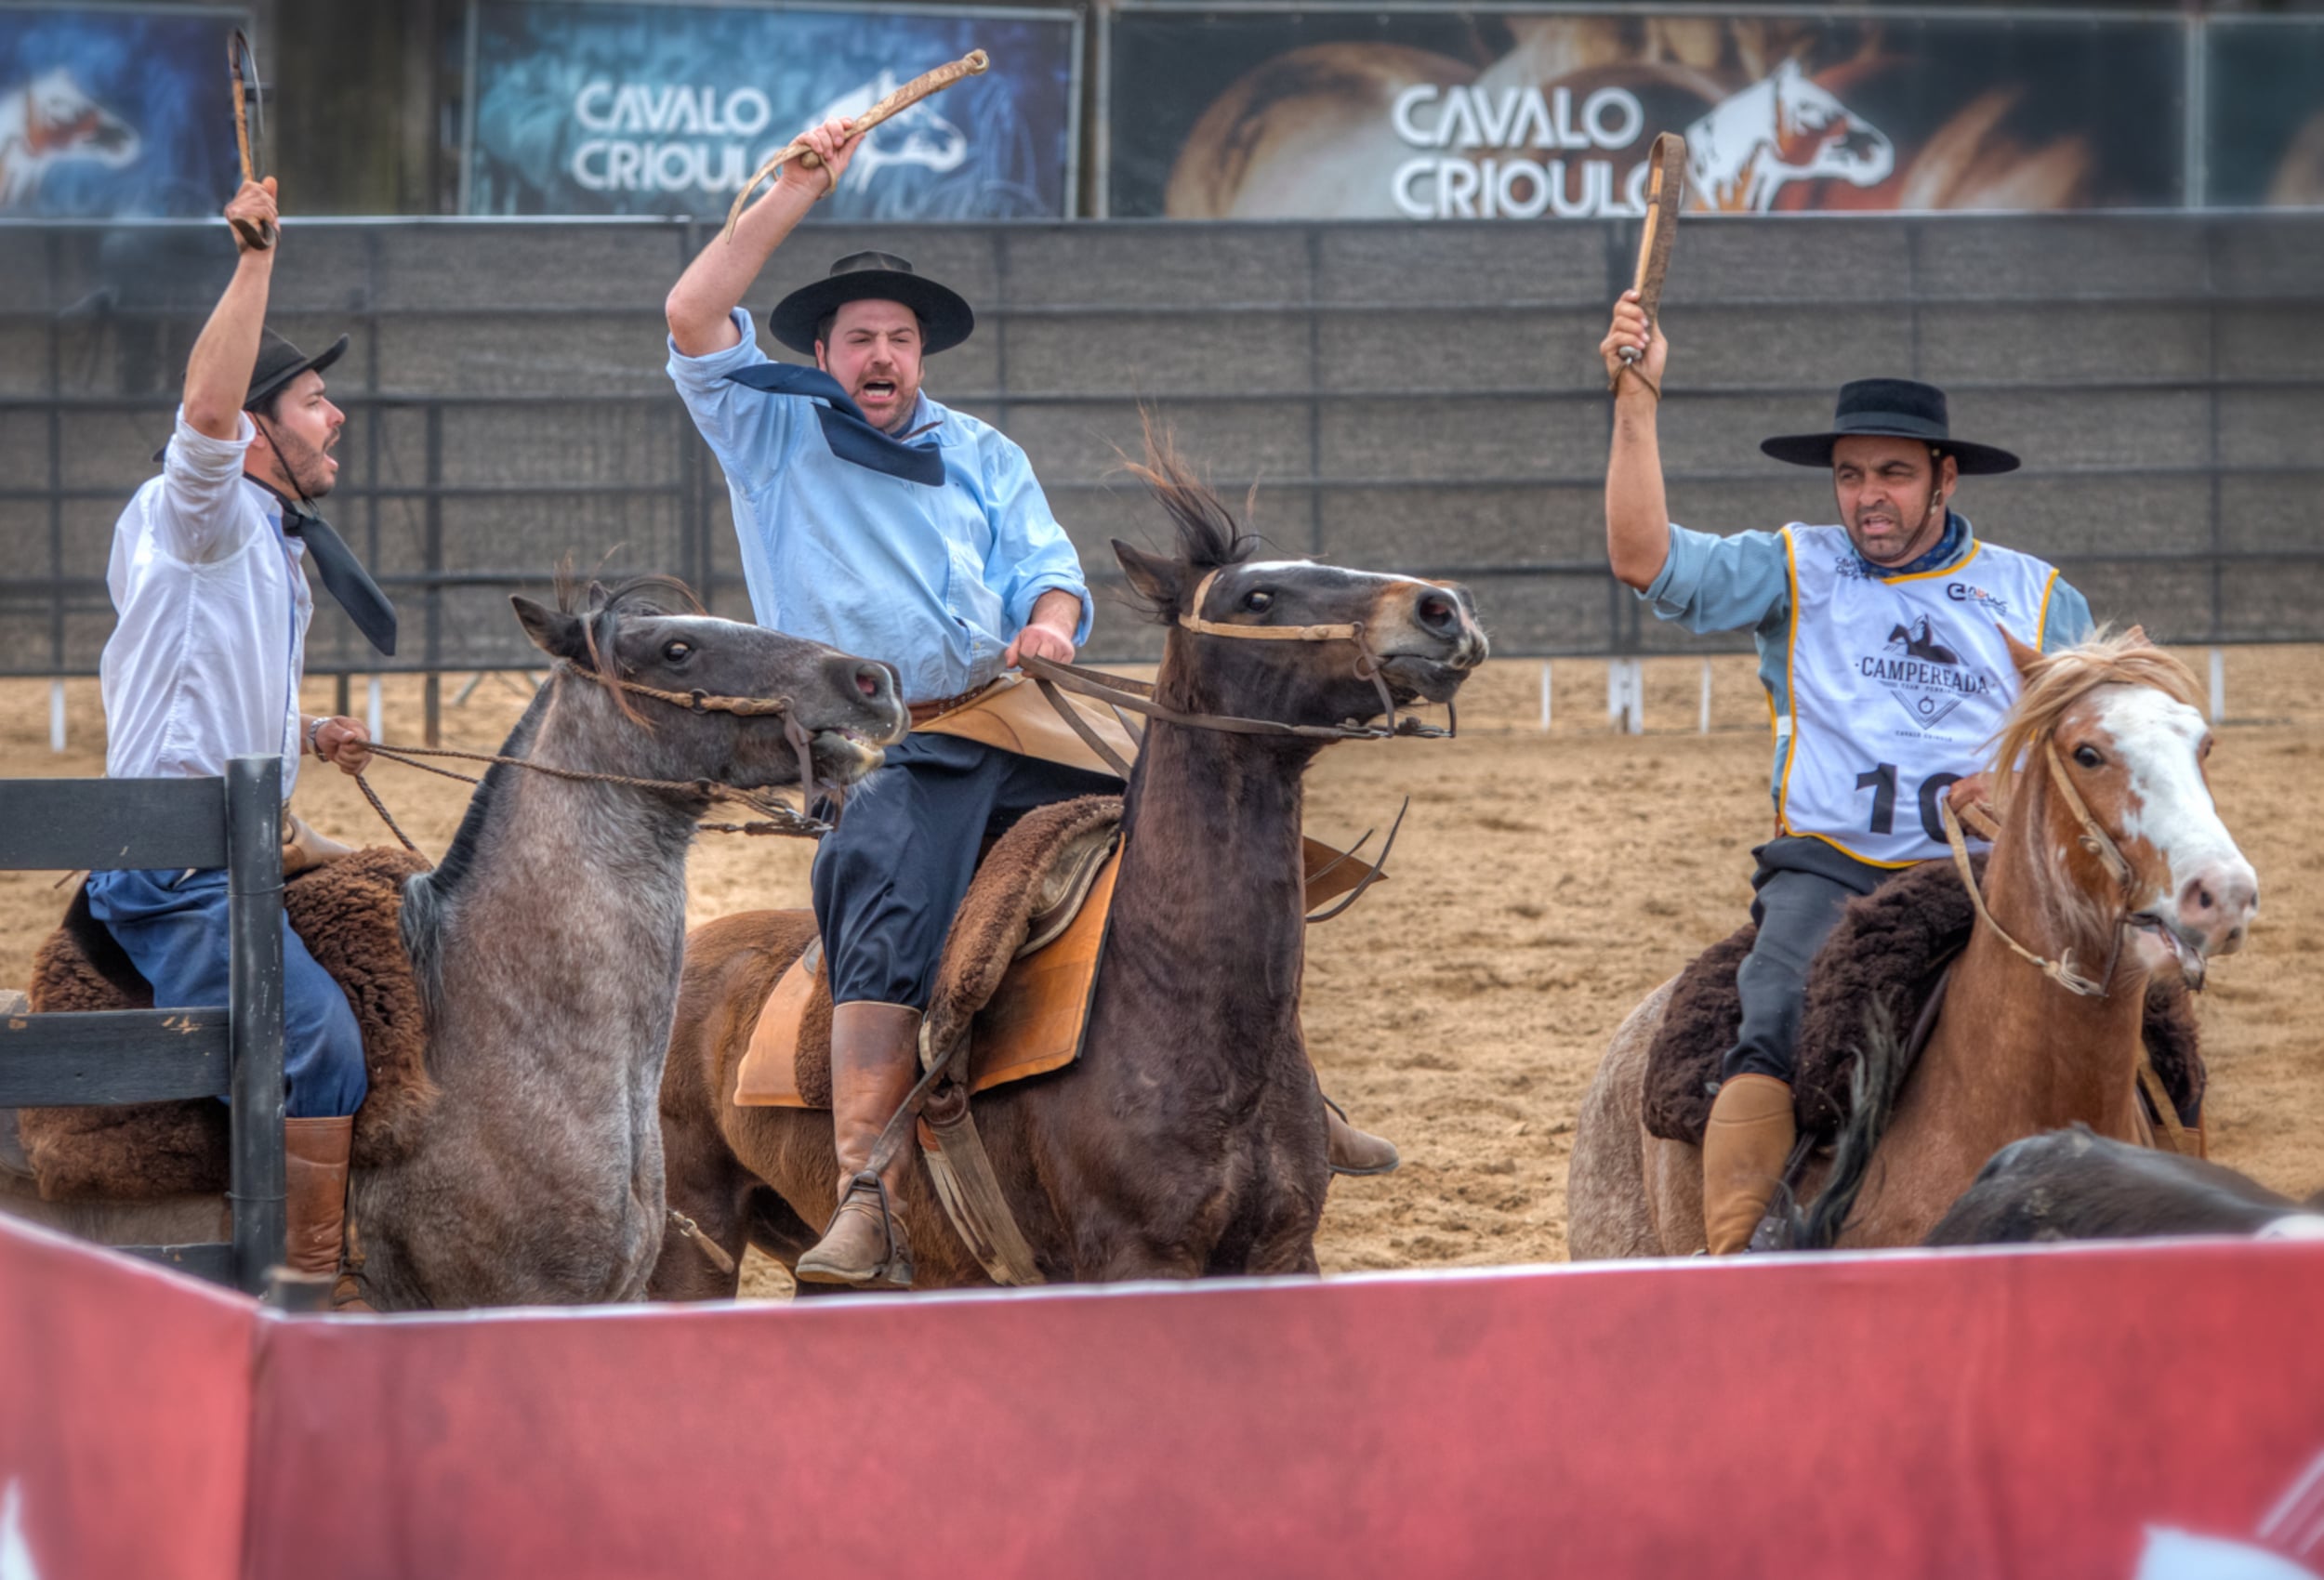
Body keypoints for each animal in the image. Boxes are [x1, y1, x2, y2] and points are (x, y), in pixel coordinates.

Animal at [655, 439, 1487, 1292]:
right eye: (1257, 597)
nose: (1441, 608)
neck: (1180, 1004)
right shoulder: (1138, 1260)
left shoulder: (1285, 1252)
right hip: (692, 1239)